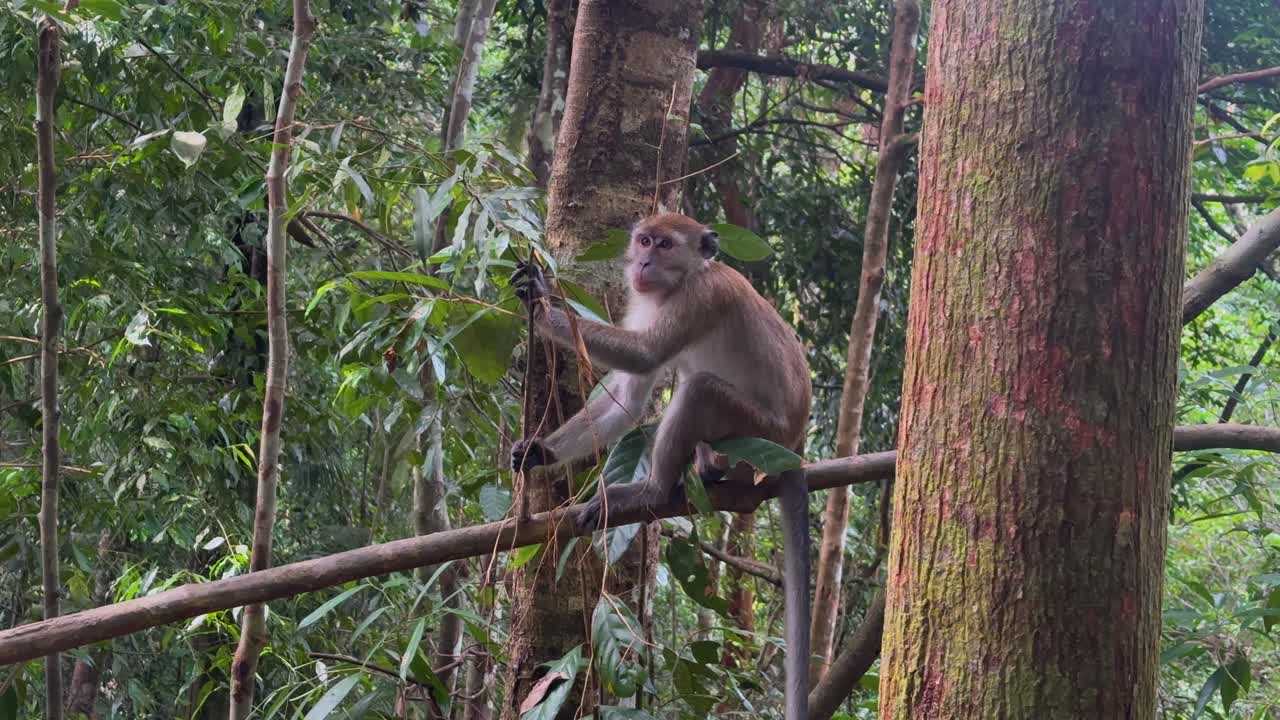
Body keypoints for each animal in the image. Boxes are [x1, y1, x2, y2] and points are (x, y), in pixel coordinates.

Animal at [509, 211, 813, 719]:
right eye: (645, 240)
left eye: (666, 245)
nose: (644, 263)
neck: (681, 281)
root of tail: (795, 443)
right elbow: (627, 398)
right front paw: (540, 452)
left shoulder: (701, 298)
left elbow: (644, 354)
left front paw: (540, 302)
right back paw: (707, 472)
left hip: (760, 432)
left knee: (699, 389)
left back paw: (652, 489)